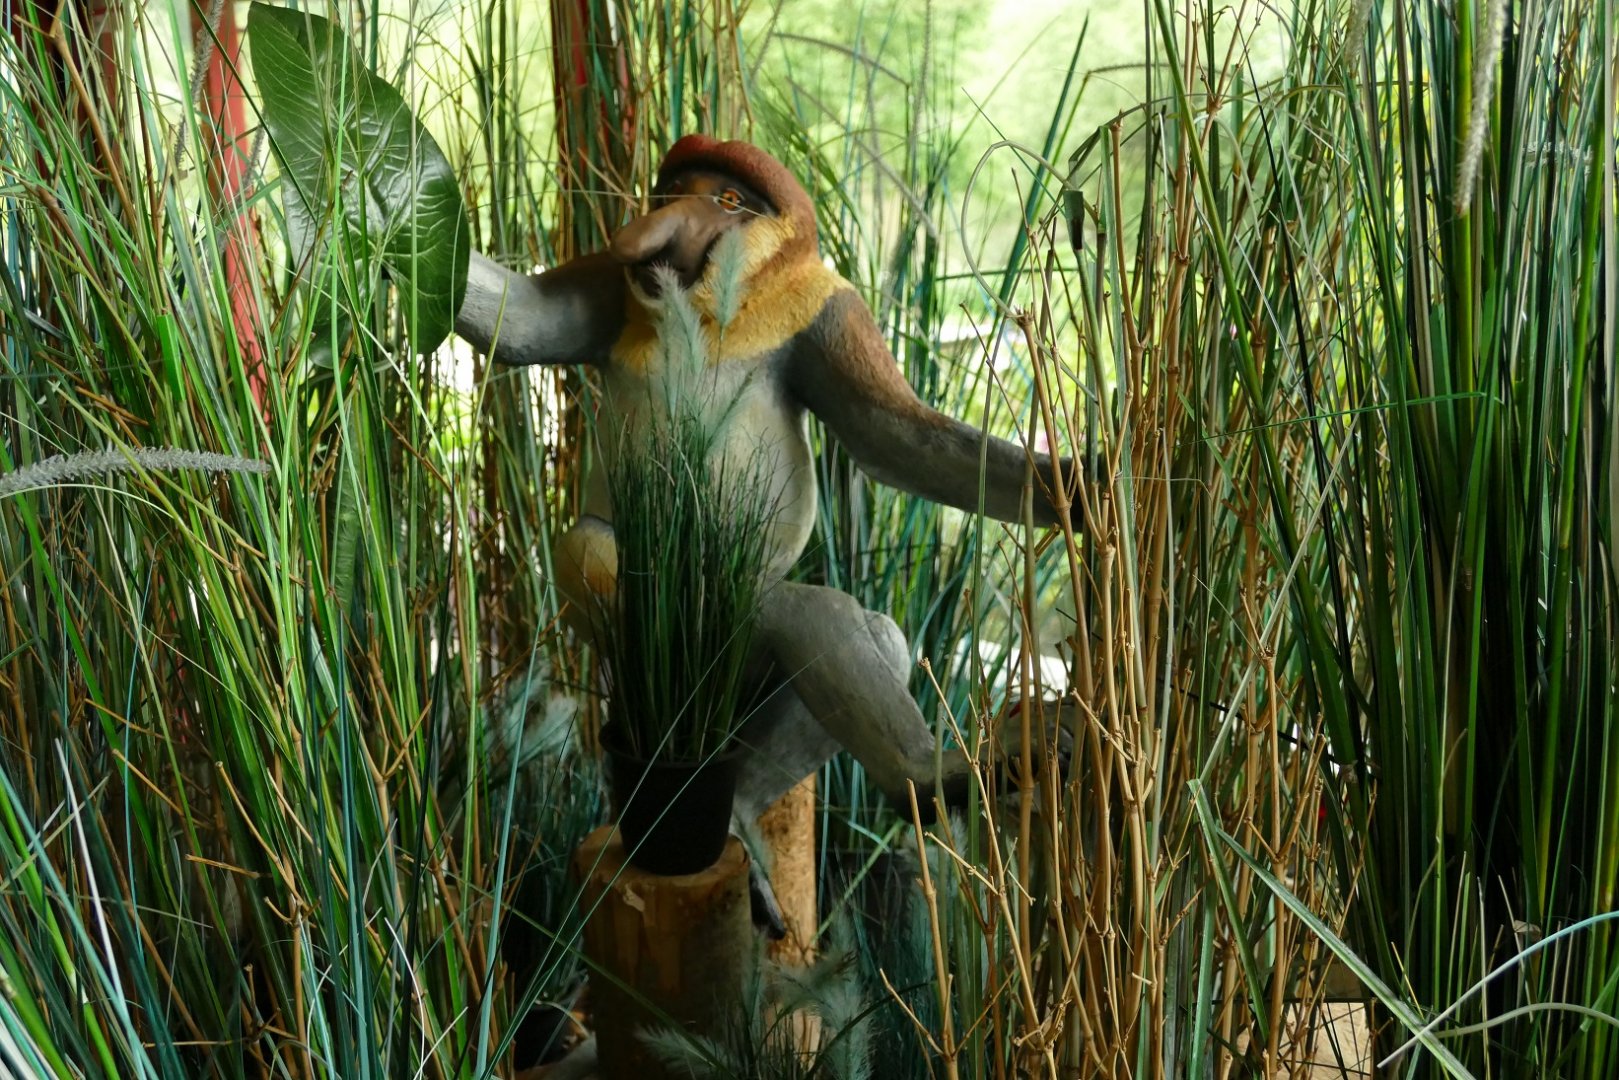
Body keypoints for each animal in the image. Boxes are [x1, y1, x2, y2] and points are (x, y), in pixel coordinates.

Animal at [456, 135, 1074, 878]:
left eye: (727, 198)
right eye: (674, 191)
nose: (656, 228)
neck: (713, 308)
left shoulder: (827, 308)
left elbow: (895, 439)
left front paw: (1079, 487)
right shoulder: (611, 280)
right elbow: (518, 321)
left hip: (745, 642)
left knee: (850, 629)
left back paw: (915, 783)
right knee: (617, 560)